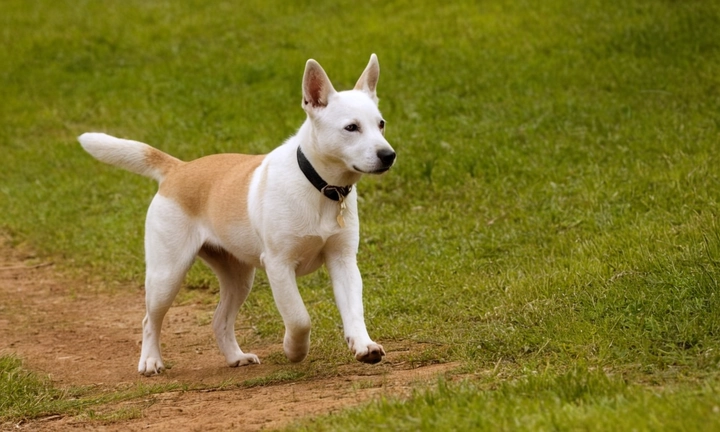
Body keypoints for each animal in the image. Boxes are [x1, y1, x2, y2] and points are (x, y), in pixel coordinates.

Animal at [79, 54, 396, 376]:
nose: (388, 155)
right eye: (351, 127)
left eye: (380, 124)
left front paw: (363, 345)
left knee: (219, 320)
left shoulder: (343, 260)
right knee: (149, 320)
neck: (319, 186)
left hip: (238, 278)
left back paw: (235, 356)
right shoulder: (279, 265)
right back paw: (151, 360)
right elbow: (299, 318)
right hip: (166, 275)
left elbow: (353, 309)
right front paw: (294, 350)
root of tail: (178, 168)